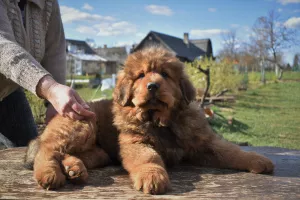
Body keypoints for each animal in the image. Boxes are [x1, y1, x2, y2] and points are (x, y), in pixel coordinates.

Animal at [25, 45, 274, 194]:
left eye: (165, 74)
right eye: (141, 76)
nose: (153, 86)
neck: (160, 120)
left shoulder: (204, 143)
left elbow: (231, 151)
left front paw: (257, 159)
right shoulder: (135, 142)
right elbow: (148, 157)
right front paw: (152, 177)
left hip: (99, 152)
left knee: (68, 153)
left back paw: (74, 168)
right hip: (82, 123)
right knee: (48, 150)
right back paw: (50, 174)